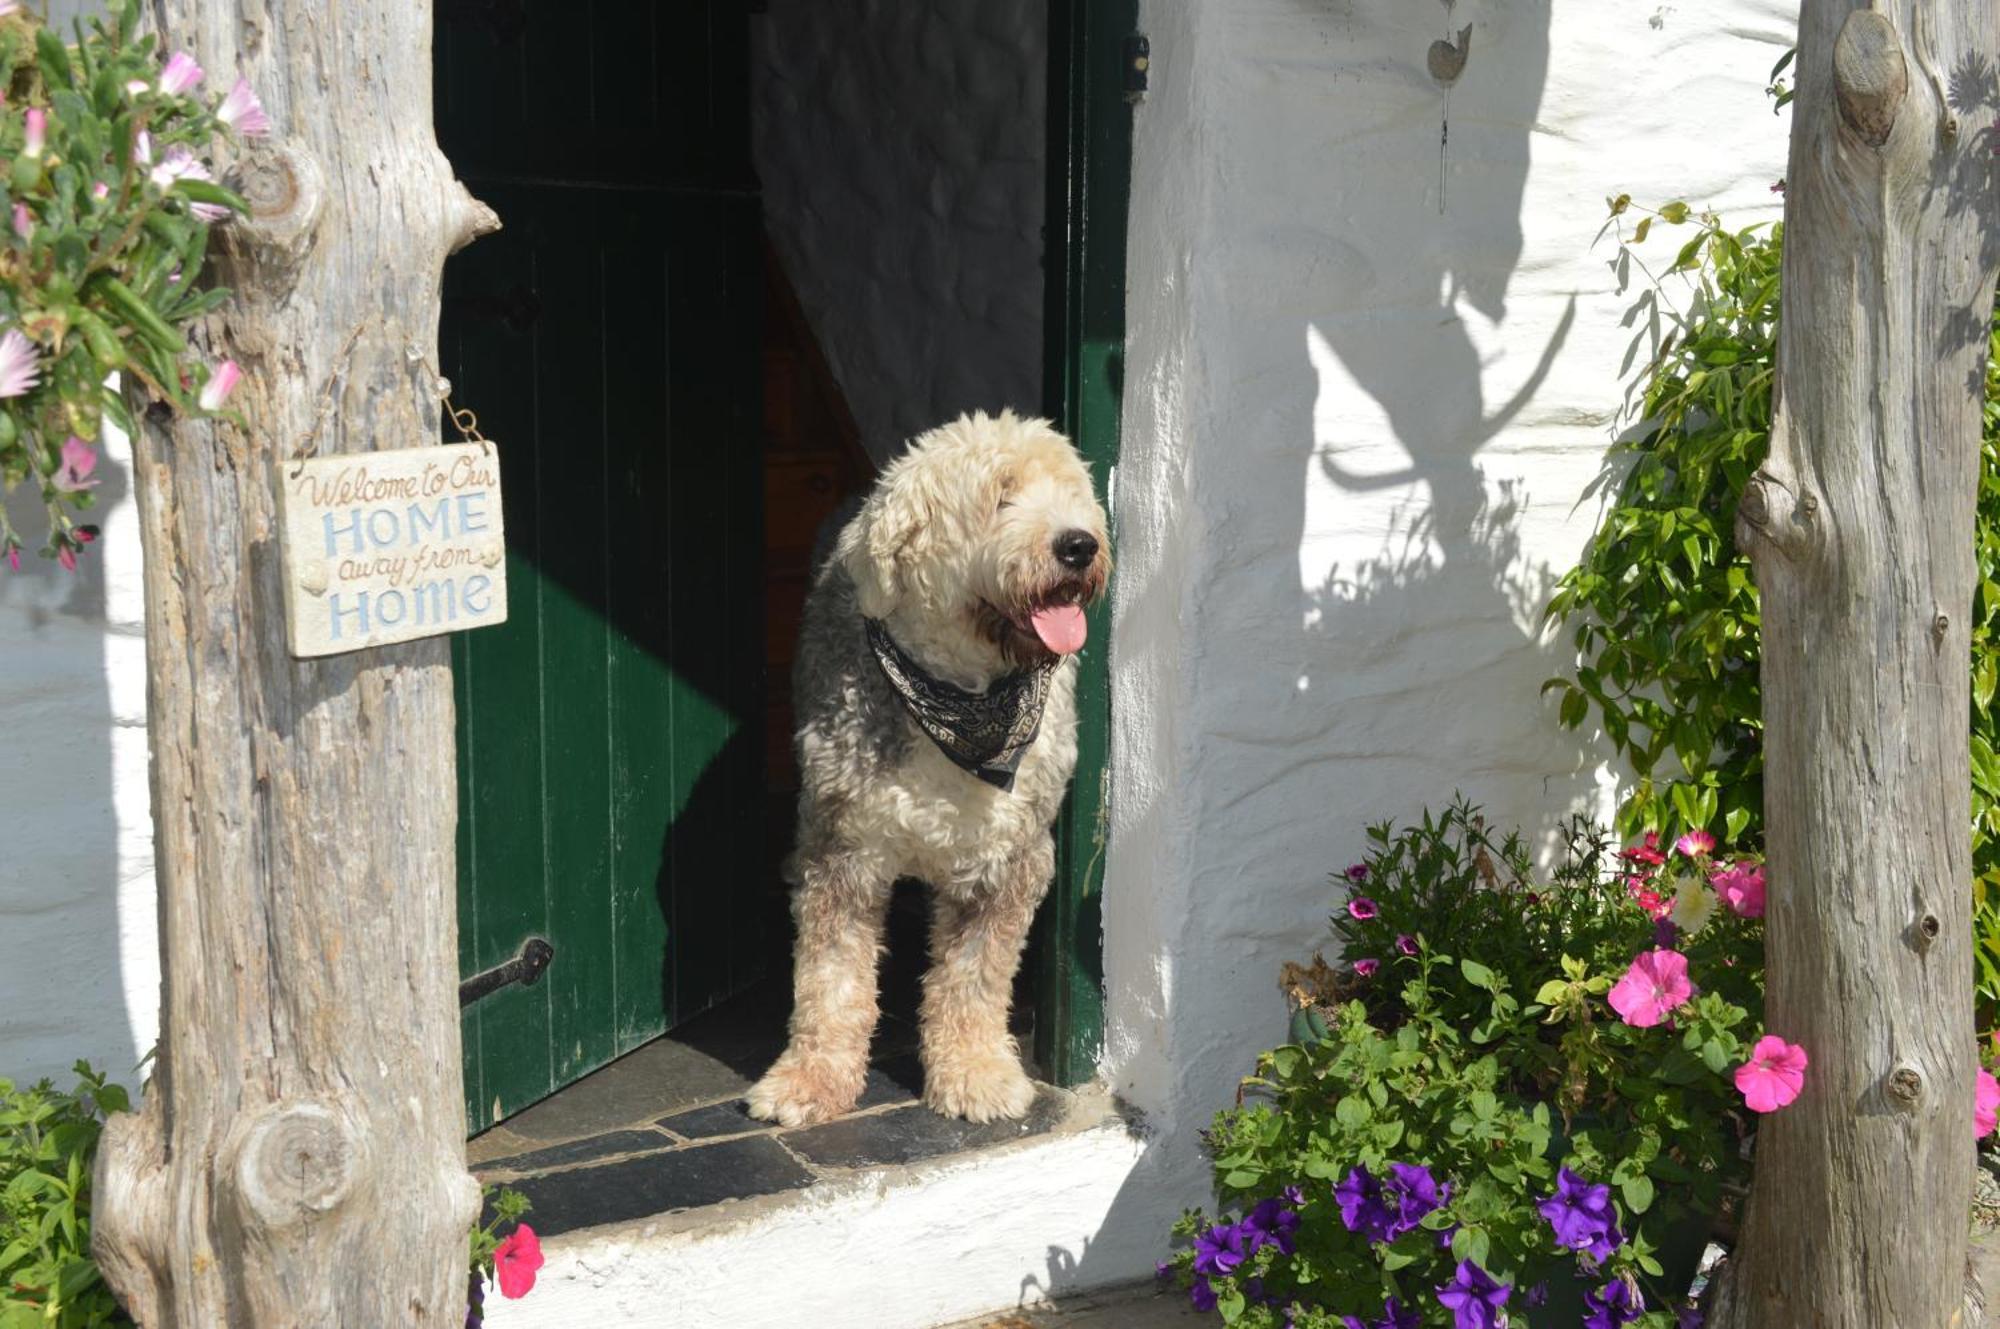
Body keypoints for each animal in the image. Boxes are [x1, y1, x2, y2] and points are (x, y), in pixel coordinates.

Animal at [748, 412, 1104, 1120]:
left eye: (1073, 491)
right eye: (1000, 496)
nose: (1079, 545)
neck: (959, 696)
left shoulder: (1009, 858)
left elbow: (973, 976)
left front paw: (974, 1072)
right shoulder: (842, 849)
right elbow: (830, 978)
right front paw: (809, 1080)